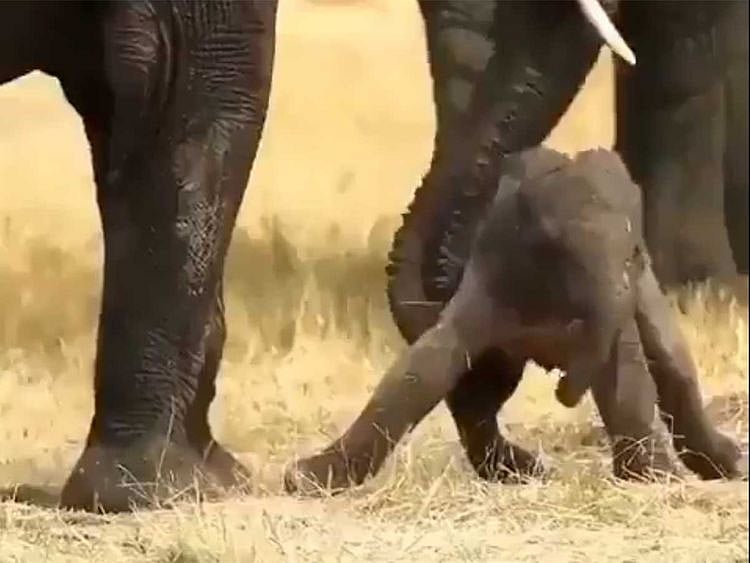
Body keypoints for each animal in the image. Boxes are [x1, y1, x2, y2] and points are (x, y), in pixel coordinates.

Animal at [284, 147, 745, 494]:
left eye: (634, 254)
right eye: (556, 248)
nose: (562, 387)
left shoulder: (624, 293)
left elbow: (624, 370)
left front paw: (651, 477)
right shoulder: (498, 270)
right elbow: (428, 365)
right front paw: (306, 479)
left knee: (672, 363)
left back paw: (727, 463)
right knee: (484, 386)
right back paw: (523, 470)